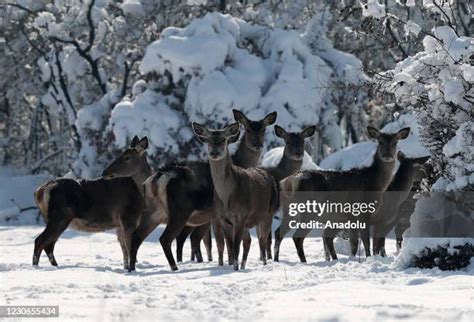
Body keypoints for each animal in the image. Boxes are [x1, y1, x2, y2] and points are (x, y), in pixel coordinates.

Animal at [32, 136, 148, 270]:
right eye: (121, 154)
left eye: (127, 157)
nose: (105, 172)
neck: (140, 192)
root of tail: (39, 191)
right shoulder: (127, 217)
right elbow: (129, 248)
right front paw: (131, 269)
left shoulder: (120, 223)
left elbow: (124, 249)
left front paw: (126, 268)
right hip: (59, 216)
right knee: (39, 241)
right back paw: (37, 267)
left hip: (54, 219)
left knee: (48, 245)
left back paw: (55, 266)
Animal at [175, 110, 278, 264]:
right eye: (247, 129)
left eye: (264, 130)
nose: (257, 144)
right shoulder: (215, 215)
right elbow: (223, 242)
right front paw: (227, 262)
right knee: (186, 238)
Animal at [262, 125, 316, 260]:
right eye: (288, 142)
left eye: (302, 141)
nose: (298, 154)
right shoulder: (270, 209)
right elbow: (267, 238)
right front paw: (269, 258)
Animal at [278, 125, 412, 262]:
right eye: (380, 142)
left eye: (395, 142)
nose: (387, 155)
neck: (374, 183)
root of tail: (289, 181)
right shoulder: (363, 211)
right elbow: (365, 240)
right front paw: (367, 258)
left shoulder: (352, 216)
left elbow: (355, 242)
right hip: (310, 211)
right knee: (297, 237)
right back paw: (304, 261)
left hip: (289, 210)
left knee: (280, 233)